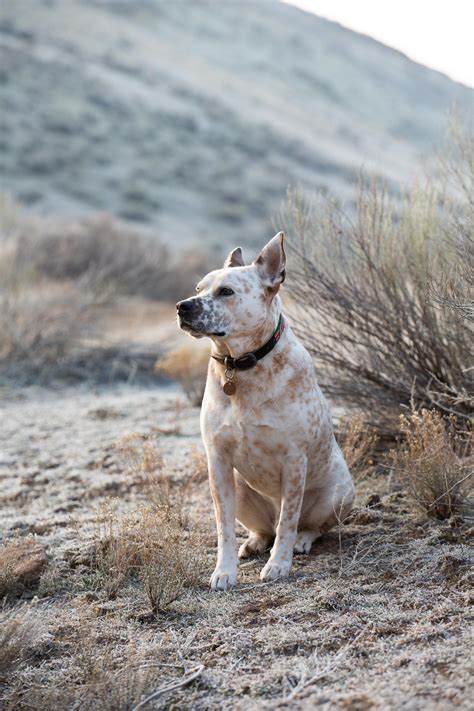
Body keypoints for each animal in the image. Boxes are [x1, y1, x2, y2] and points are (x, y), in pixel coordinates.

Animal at [176, 232, 354, 588]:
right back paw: (255, 542)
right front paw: (224, 571)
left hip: (340, 494)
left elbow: (289, 521)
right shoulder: (218, 461)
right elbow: (224, 528)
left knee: (305, 526)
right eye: (199, 288)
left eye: (226, 291)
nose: (182, 306)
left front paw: (279, 565)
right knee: (265, 529)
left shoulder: (294, 460)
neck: (241, 367)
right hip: (241, 490)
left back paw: (301, 540)